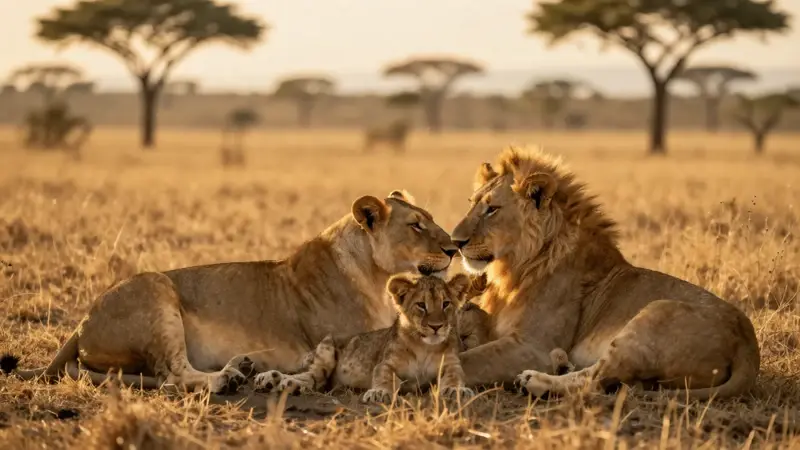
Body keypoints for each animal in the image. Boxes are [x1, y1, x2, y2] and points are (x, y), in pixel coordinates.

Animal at [1, 190, 459, 395]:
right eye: (416, 225)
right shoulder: (342, 342)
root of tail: (81, 322)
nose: (454, 247)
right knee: (172, 376)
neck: (376, 276)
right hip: (156, 288)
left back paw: (242, 365)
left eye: (430, 218)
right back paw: (228, 376)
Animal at [252, 273, 492, 404]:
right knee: (312, 377)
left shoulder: (452, 363)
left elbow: (454, 376)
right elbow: (384, 376)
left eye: (446, 304)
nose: (436, 327)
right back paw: (283, 382)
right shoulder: (385, 363)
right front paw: (378, 393)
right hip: (327, 348)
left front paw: (456, 390)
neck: (425, 347)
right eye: (421, 305)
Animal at [449, 146, 760, 400]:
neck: (514, 268)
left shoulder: (533, 346)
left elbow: (470, 359)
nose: (455, 242)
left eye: (492, 209)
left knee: (595, 381)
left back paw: (536, 381)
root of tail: (749, 346)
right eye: (471, 203)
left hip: (653, 315)